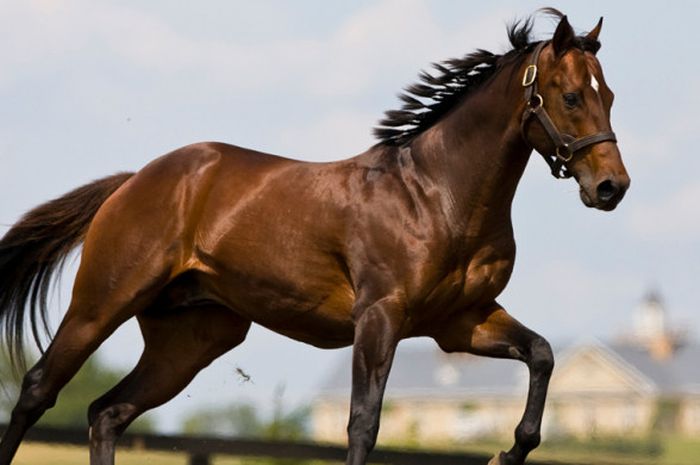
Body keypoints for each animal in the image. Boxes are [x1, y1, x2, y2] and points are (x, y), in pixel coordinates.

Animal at [0, 10, 628, 464]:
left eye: (610, 95)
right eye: (571, 95)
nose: (611, 187)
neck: (436, 195)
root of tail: (133, 182)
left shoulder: (460, 321)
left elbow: (542, 355)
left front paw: (508, 452)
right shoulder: (380, 317)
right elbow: (363, 424)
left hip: (192, 339)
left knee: (107, 412)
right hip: (101, 303)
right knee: (37, 390)